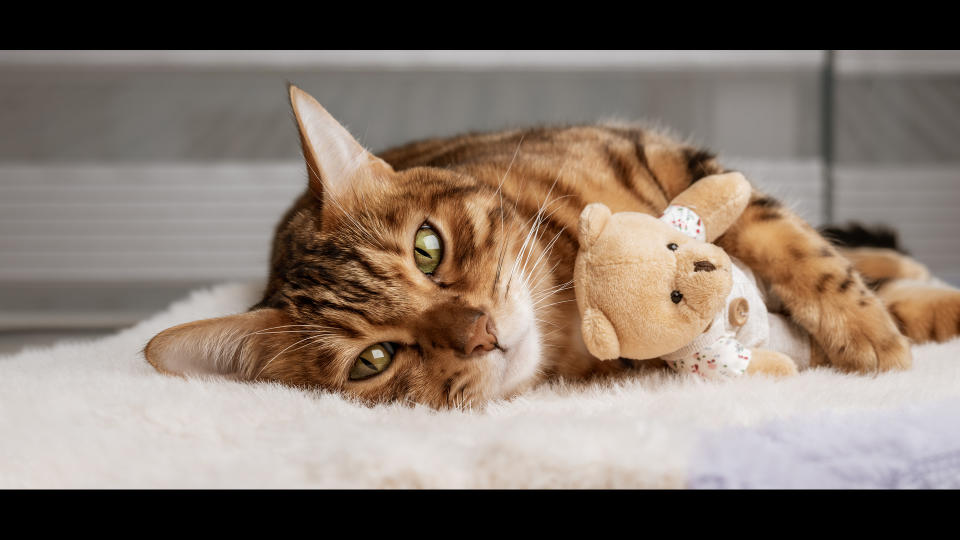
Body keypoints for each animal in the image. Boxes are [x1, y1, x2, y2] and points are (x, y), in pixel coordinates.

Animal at [142, 84, 960, 408]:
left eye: (428, 249)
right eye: (373, 361)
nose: (481, 335)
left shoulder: (674, 162)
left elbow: (797, 246)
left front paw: (870, 333)